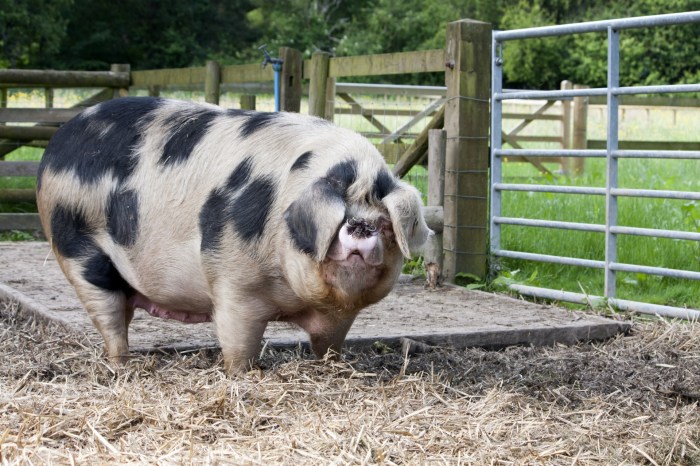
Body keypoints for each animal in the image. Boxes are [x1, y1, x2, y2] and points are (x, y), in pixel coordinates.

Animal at [36, 97, 431, 373]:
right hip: (77, 250)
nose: (362, 225)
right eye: (341, 218)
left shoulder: (340, 313)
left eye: (384, 223)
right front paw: (241, 374)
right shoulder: (232, 281)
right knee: (109, 317)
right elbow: (238, 340)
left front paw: (332, 365)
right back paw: (122, 366)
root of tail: (58, 143)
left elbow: (329, 344)